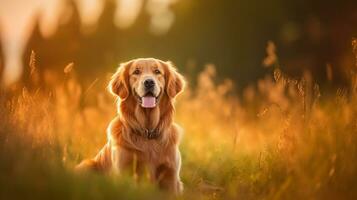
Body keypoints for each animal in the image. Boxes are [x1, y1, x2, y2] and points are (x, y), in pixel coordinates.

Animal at [76, 57, 185, 194]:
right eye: (136, 72)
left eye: (157, 72)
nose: (149, 82)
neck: (147, 133)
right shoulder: (124, 171)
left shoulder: (170, 175)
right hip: (86, 166)